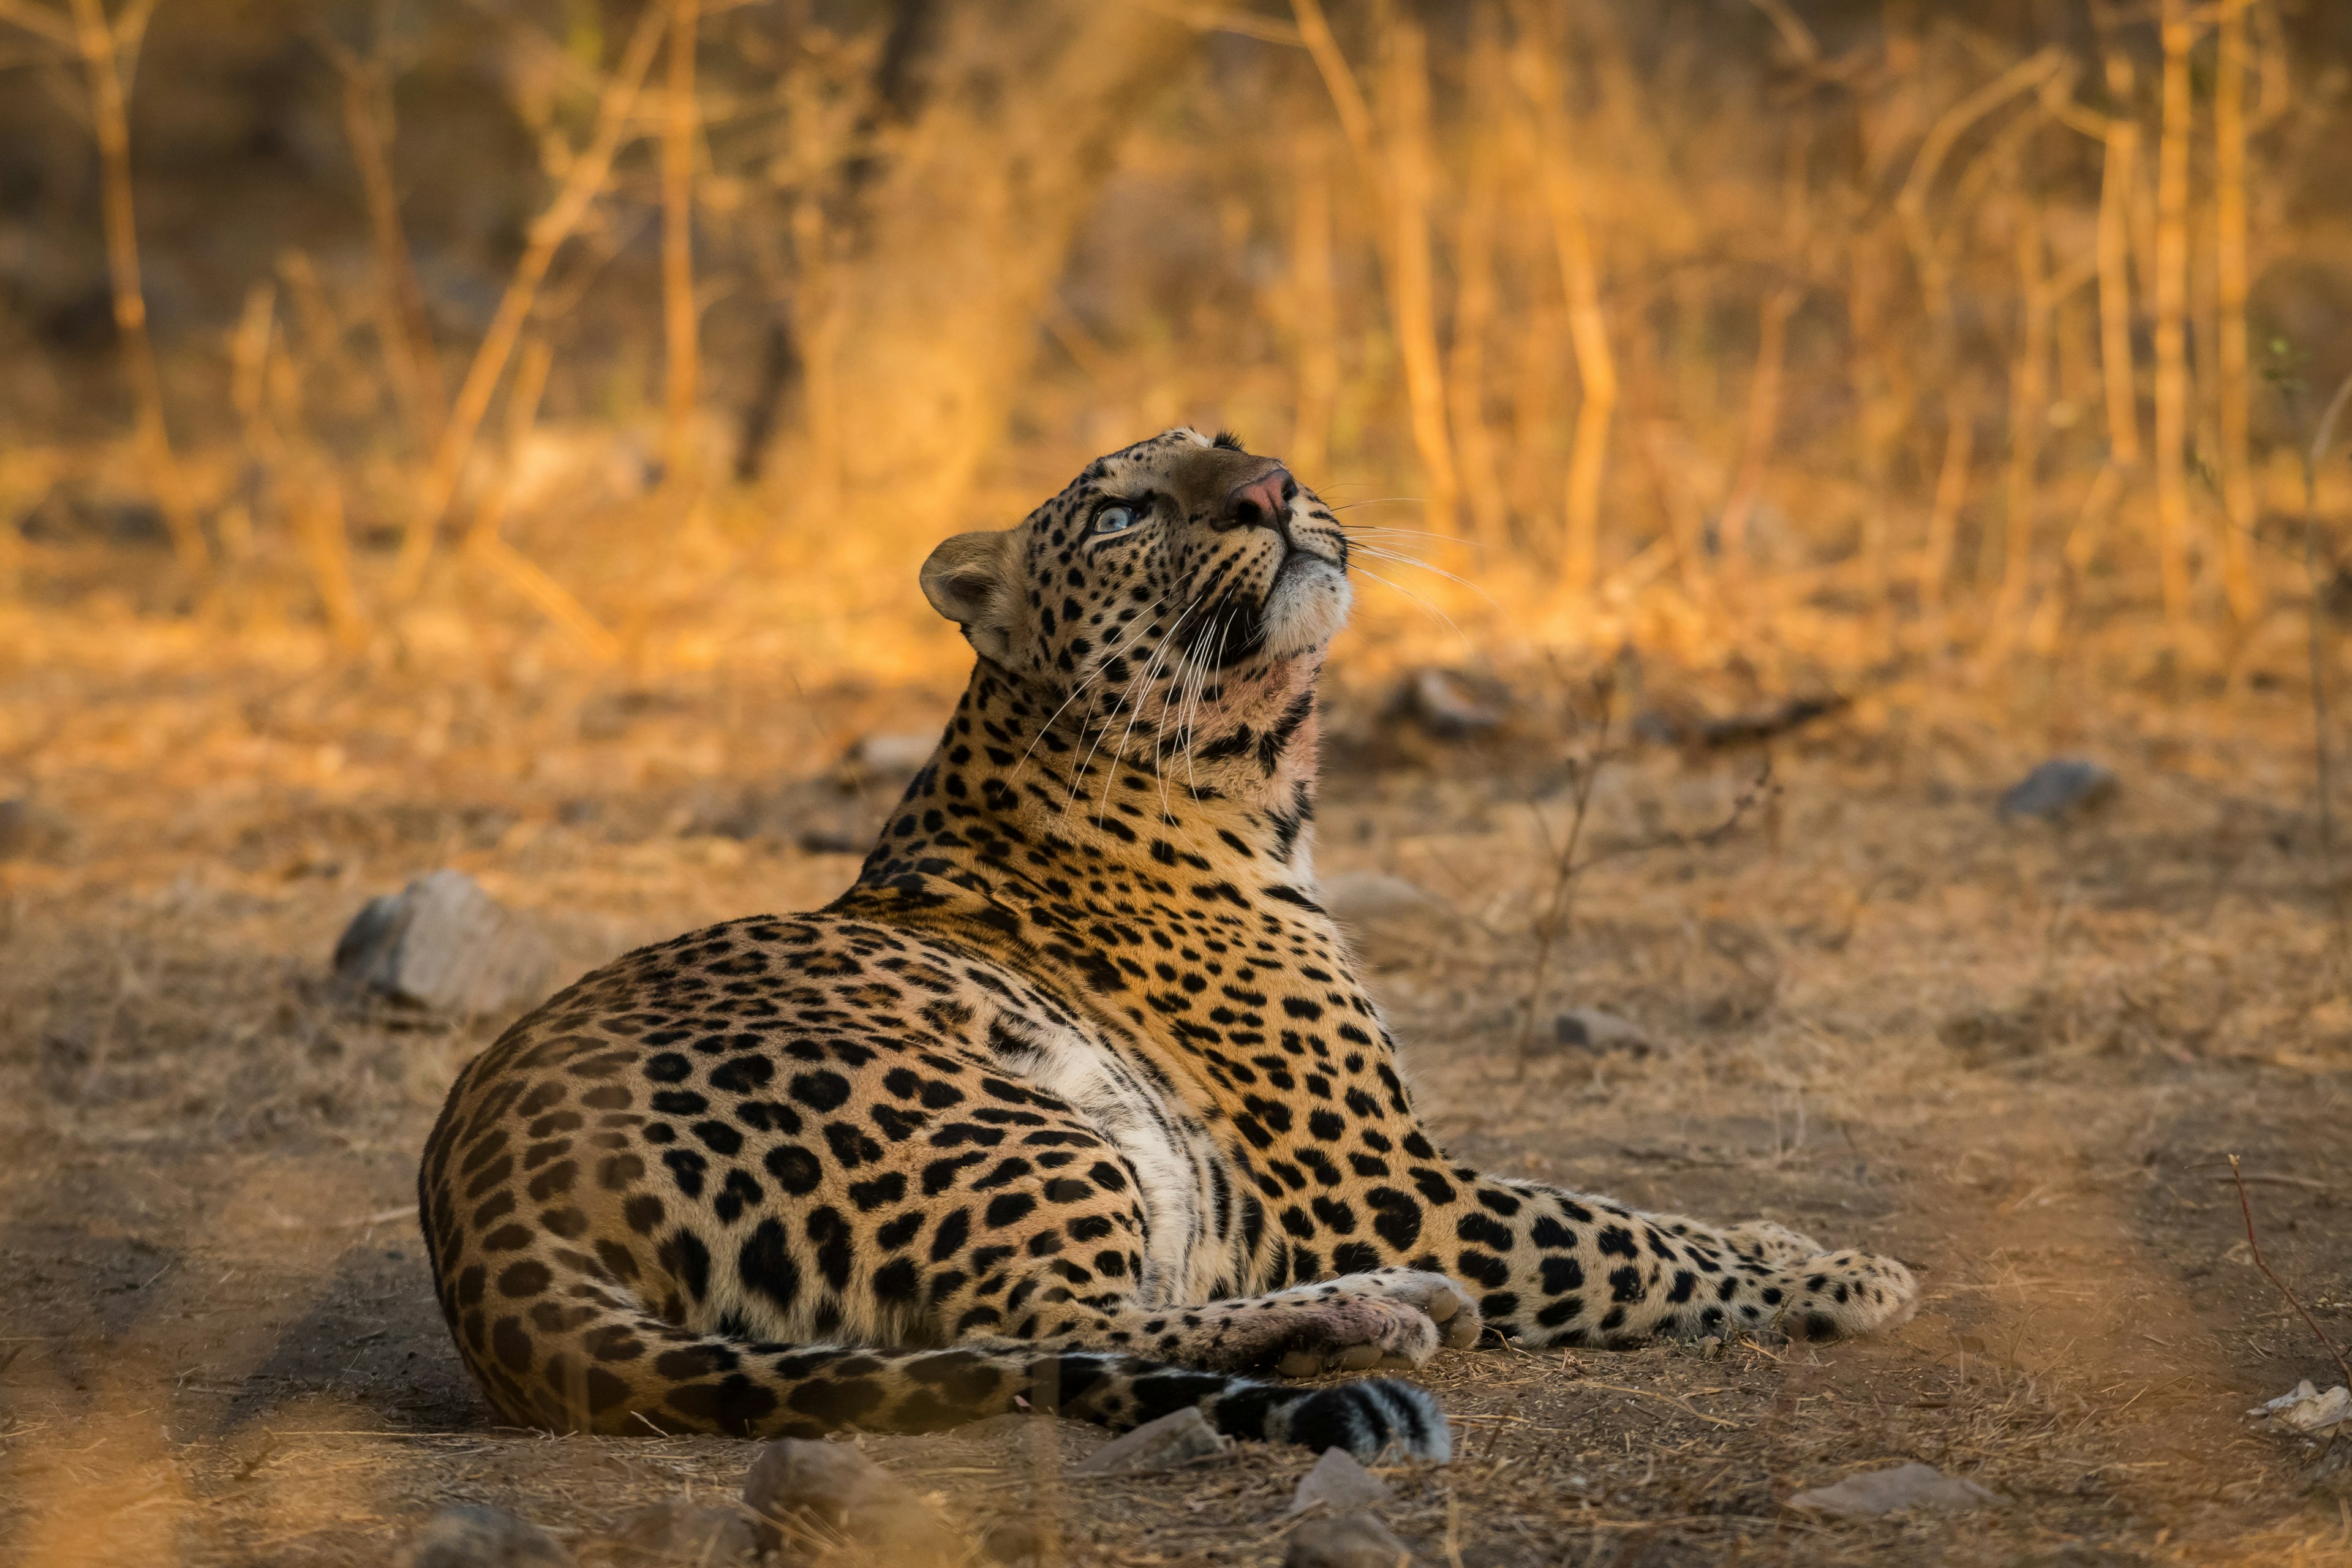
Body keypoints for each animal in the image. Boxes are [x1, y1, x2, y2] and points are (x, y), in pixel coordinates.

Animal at [418, 425, 1910, 1457]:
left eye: (1240, 441)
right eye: (1126, 511)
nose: (1271, 490)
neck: (1252, 778)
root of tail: (483, 1228)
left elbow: (1639, 1207)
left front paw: (1792, 1238)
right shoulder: (1387, 1178)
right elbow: (1621, 1239)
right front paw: (1850, 1276)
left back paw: (1390, 1302)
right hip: (1010, 1117)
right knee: (1043, 1330)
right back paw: (1375, 1313)